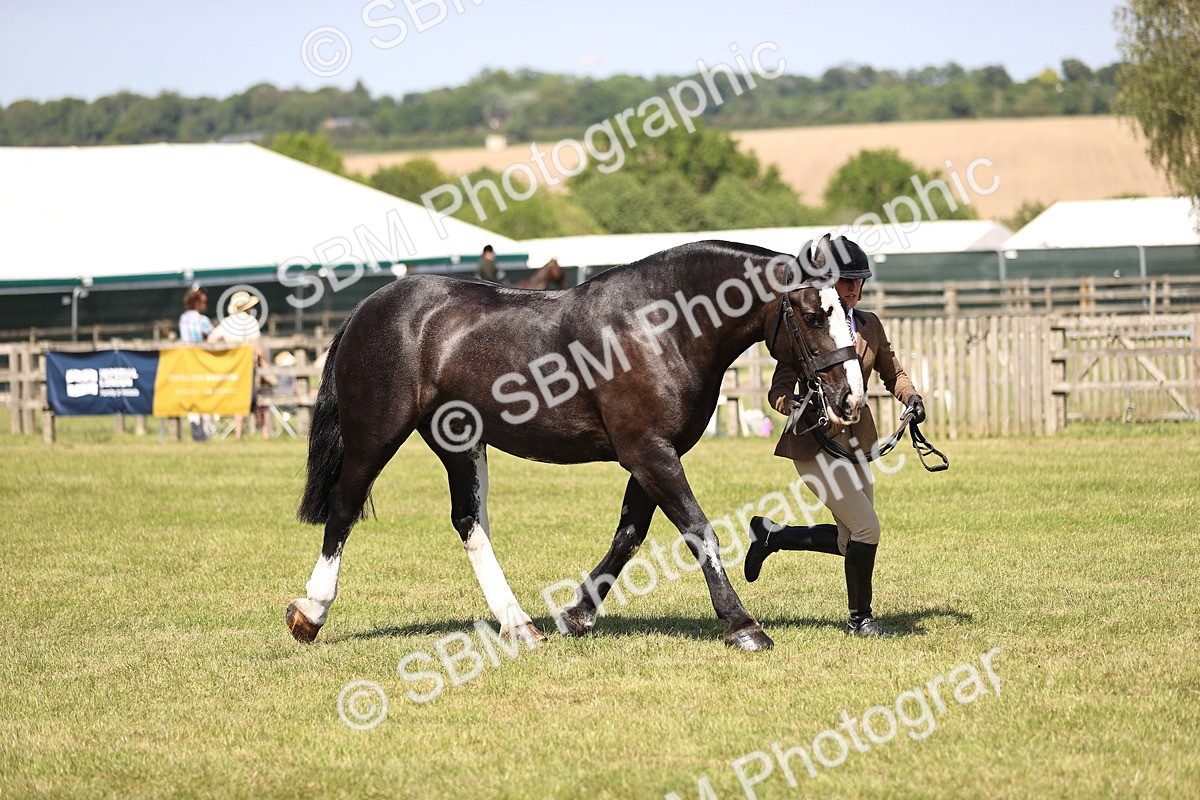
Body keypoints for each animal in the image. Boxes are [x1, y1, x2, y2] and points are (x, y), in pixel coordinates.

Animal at [286, 236, 866, 651]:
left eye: (848, 310)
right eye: (813, 315)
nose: (851, 398)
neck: (662, 325)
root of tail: (369, 307)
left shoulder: (653, 454)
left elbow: (629, 535)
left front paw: (576, 615)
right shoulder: (648, 452)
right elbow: (699, 530)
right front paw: (743, 625)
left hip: (458, 442)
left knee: (469, 521)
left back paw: (518, 623)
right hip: (375, 435)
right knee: (344, 508)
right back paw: (310, 613)